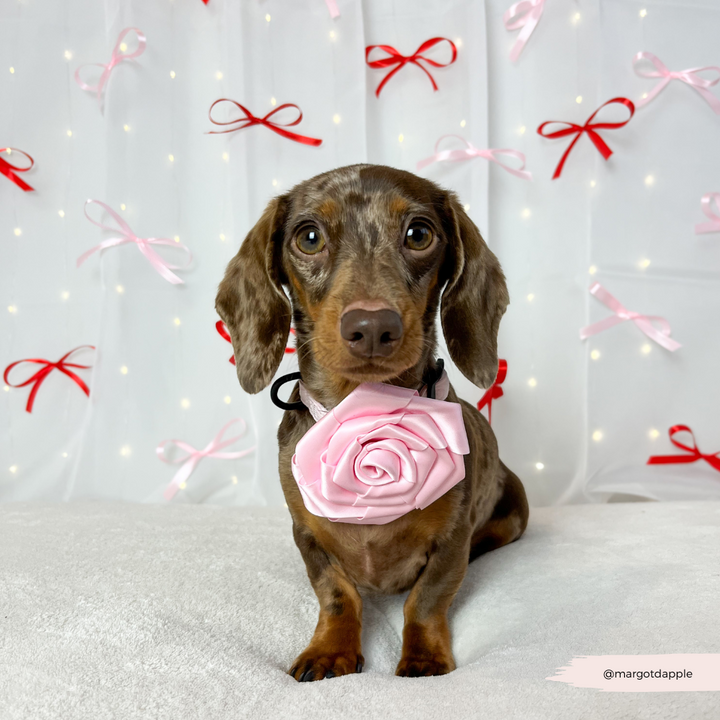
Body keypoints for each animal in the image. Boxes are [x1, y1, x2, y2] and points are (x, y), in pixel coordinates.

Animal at [215, 163, 528, 680]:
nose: (373, 327)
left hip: (516, 511)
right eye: (309, 237)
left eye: (419, 234)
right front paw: (329, 649)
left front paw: (423, 656)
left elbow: (426, 599)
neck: (365, 411)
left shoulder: (451, 540)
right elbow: (337, 594)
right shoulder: (307, 537)